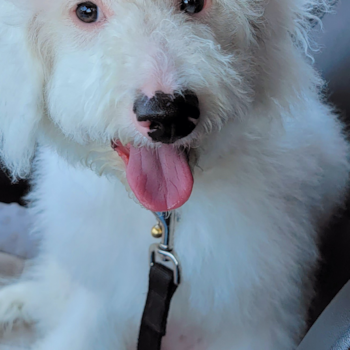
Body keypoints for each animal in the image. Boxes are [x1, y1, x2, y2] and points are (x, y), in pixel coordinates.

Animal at [0, 0, 348, 348]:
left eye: (193, 4)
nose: (168, 116)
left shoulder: (256, 319)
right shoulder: (98, 297)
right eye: (86, 11)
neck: (164, 220)